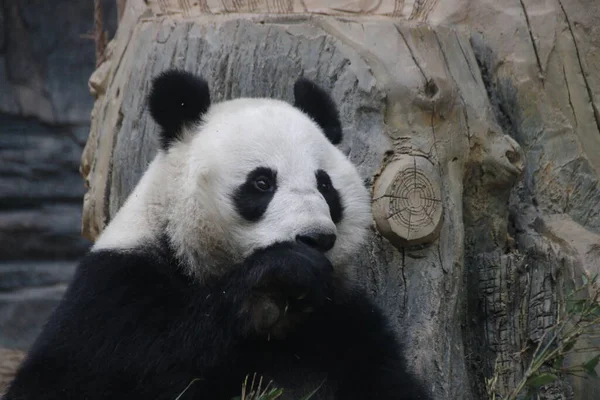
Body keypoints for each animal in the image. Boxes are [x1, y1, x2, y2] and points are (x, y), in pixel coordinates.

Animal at [3, 70, 432, 398]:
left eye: (325, 186)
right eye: (261, 182)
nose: (316, 239)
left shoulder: (346, 322)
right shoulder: (113, 293)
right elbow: (77, 377)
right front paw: (275, 279)